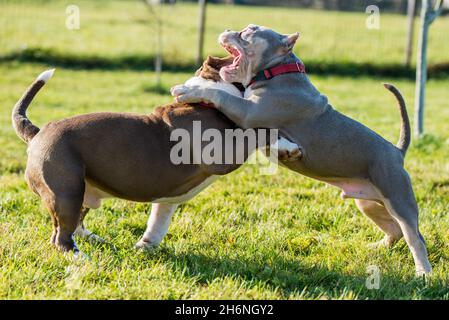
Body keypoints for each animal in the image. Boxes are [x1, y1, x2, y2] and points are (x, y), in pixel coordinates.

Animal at [172, 24, 430, 276]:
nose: (227, 29)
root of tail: (397, 152)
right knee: (394, 229)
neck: (277, 69)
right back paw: (376, 247)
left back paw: (423, 273)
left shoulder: (247, 112)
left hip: (398, 198)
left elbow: (220, 94)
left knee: (415, 237)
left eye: (248, 31)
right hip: (368, 202)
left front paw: (189, 90)